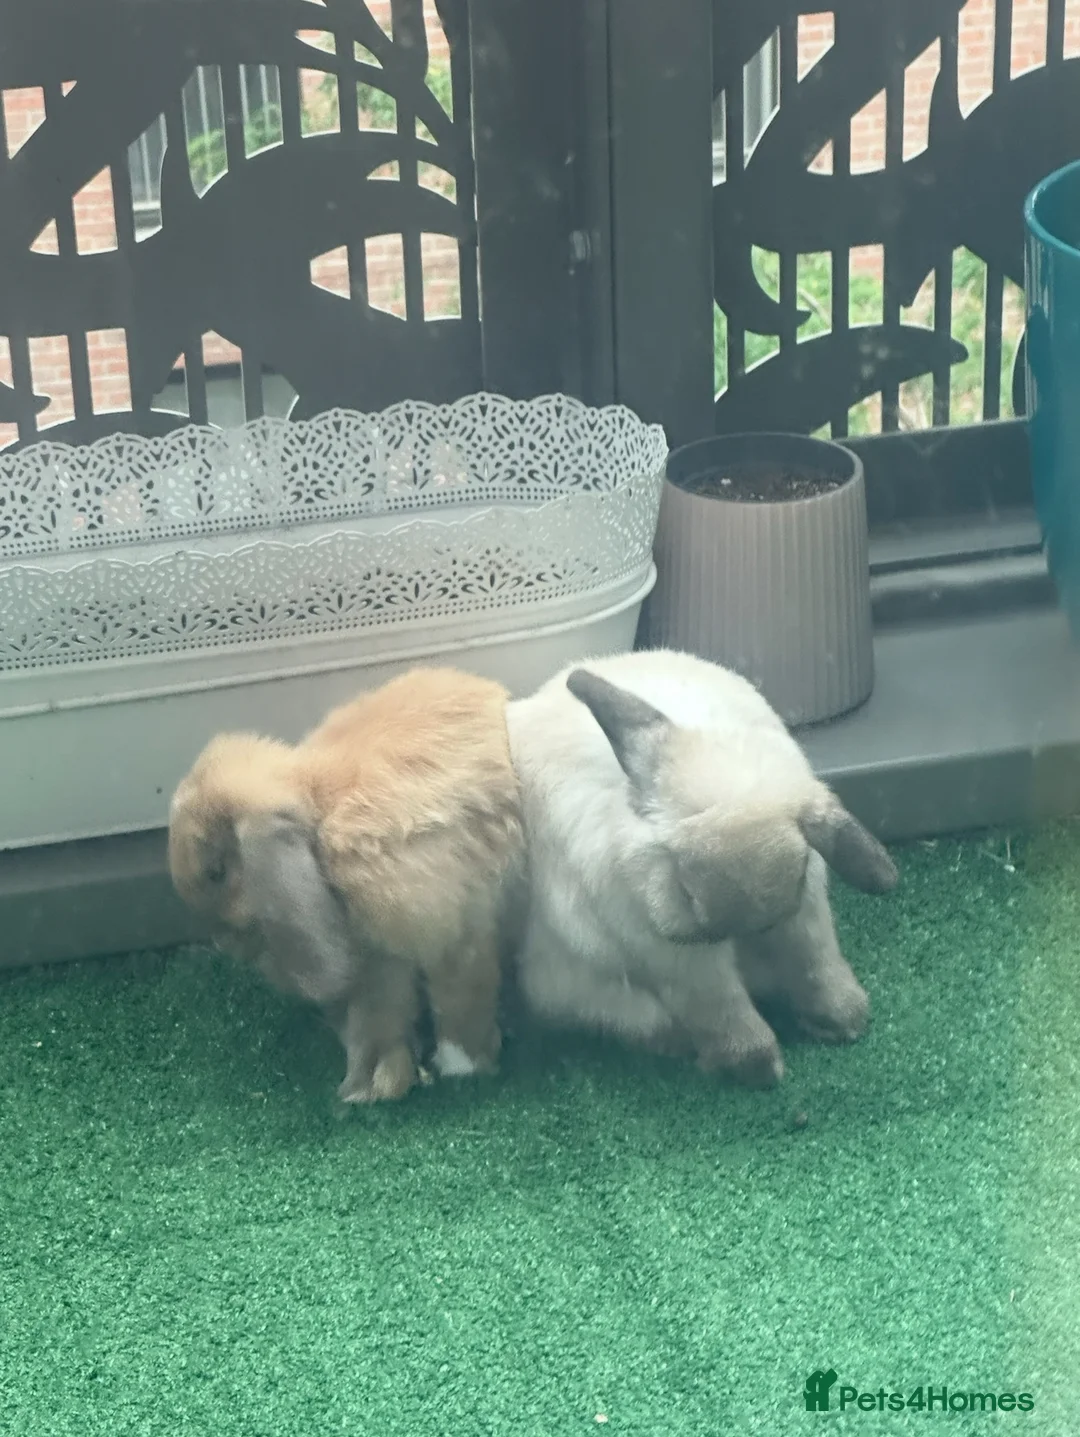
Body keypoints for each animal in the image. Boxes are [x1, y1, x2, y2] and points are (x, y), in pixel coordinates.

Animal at [168, 666, 525, 1103]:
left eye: (217, 871)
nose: (224, 944)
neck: (315, 809)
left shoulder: (449, 921)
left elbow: (455, 998)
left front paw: (454, 1067)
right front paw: (377, 1079)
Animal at [503, 649, 898, 1088]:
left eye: (796, 876)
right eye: (685, 885)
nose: (699, 927)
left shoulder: (802, 915)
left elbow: (813, 962)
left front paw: (845, 1021)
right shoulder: (676, 956)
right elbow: (720, 1008)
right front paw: (762, 1068)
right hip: (591, 987)